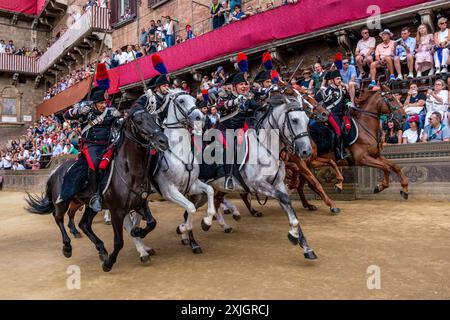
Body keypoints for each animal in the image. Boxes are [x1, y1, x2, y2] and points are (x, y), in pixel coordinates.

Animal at [25, 105, 169, 272]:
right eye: (139, 121)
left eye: (153, 118)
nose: (163, 141)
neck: (129, 171)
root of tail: (56, 171)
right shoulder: (117, 211)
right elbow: (119, 241)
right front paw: (109, 263)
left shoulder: (140, 203)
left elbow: (152, 222)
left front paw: (137, 231)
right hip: (62, 202)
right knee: (58, 217)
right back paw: (67, 246)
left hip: (89, 205)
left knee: (84, 224)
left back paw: (101, 249)